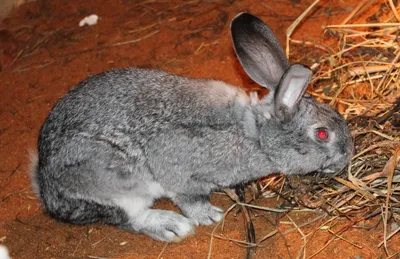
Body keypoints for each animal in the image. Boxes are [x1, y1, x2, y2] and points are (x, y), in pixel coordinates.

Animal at [30, 12, 354, 244]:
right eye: (322, 133)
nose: (348, 153)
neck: (257, 134)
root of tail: (47, 188)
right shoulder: (179, 171)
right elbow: (187, 196)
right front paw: (208, 215)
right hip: (115, 183)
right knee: (129, 217)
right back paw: (172, 226)